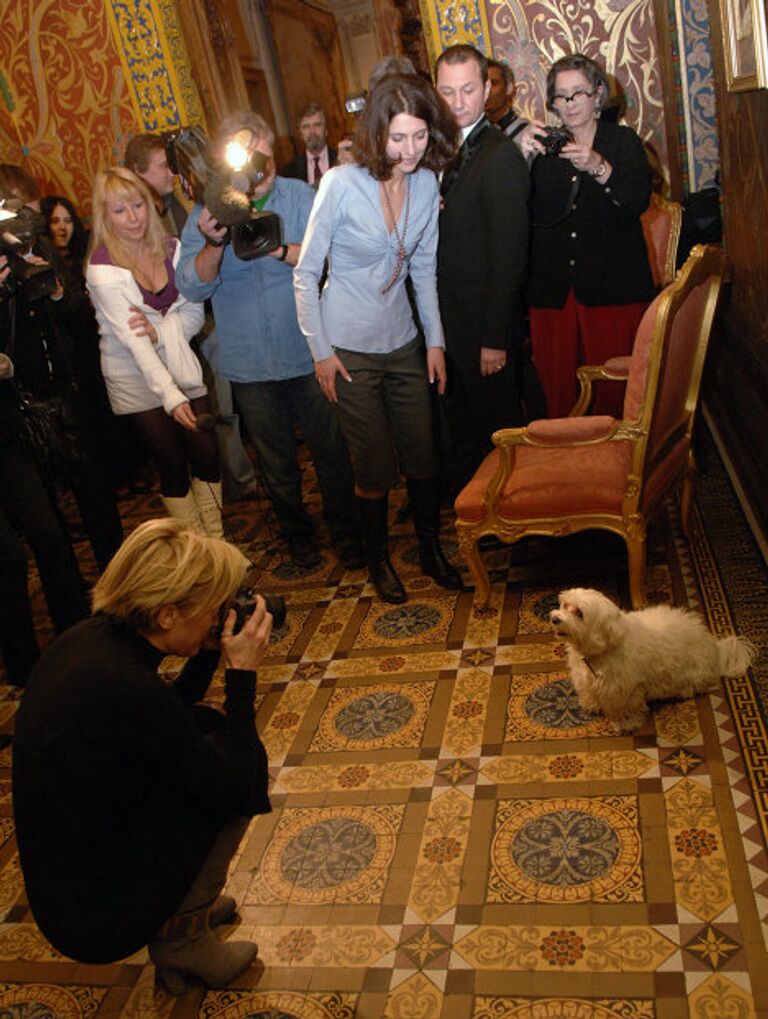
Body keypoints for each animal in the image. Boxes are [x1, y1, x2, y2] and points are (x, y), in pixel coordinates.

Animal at [550, 591, 753, 733]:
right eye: (565, 605)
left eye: (579, 613)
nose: (555, 618)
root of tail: (716, 649)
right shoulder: (585, 678)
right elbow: (589, 693)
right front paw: (591, 704)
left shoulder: (627, 688)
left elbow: (627, 708)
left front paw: (627, 723)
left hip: (692, 675)